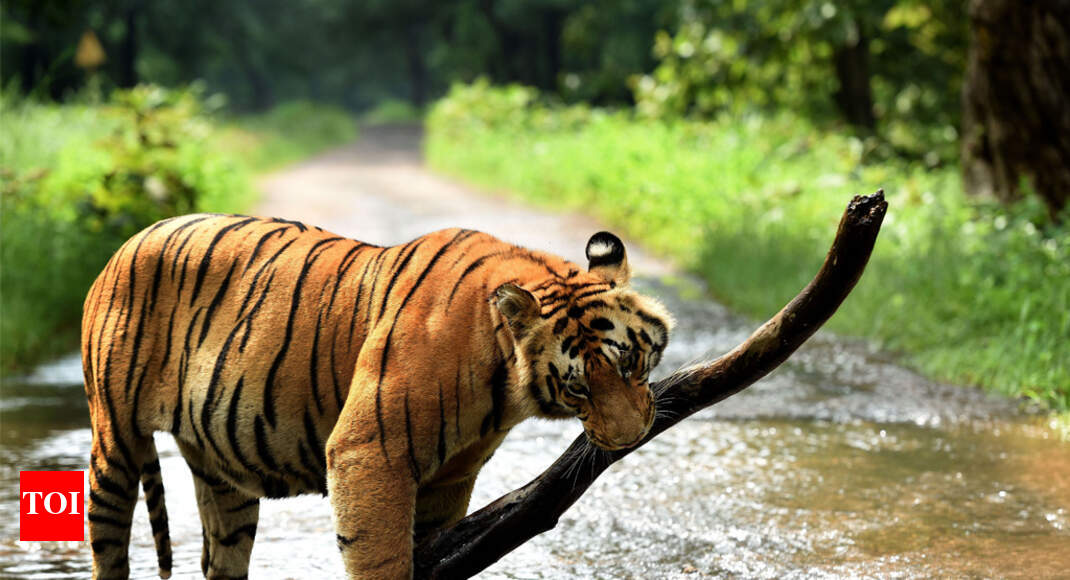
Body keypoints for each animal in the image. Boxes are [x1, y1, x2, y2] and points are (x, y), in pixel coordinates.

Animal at [81, 213, 673, 579]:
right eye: (576, 385)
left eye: (629, 363)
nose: (629, 439)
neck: (501, 381)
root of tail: (125, 244)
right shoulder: (369, 452)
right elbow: (380, 555)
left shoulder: (449, 477)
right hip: (116, 442)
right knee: (109, 543)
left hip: (221, 476)